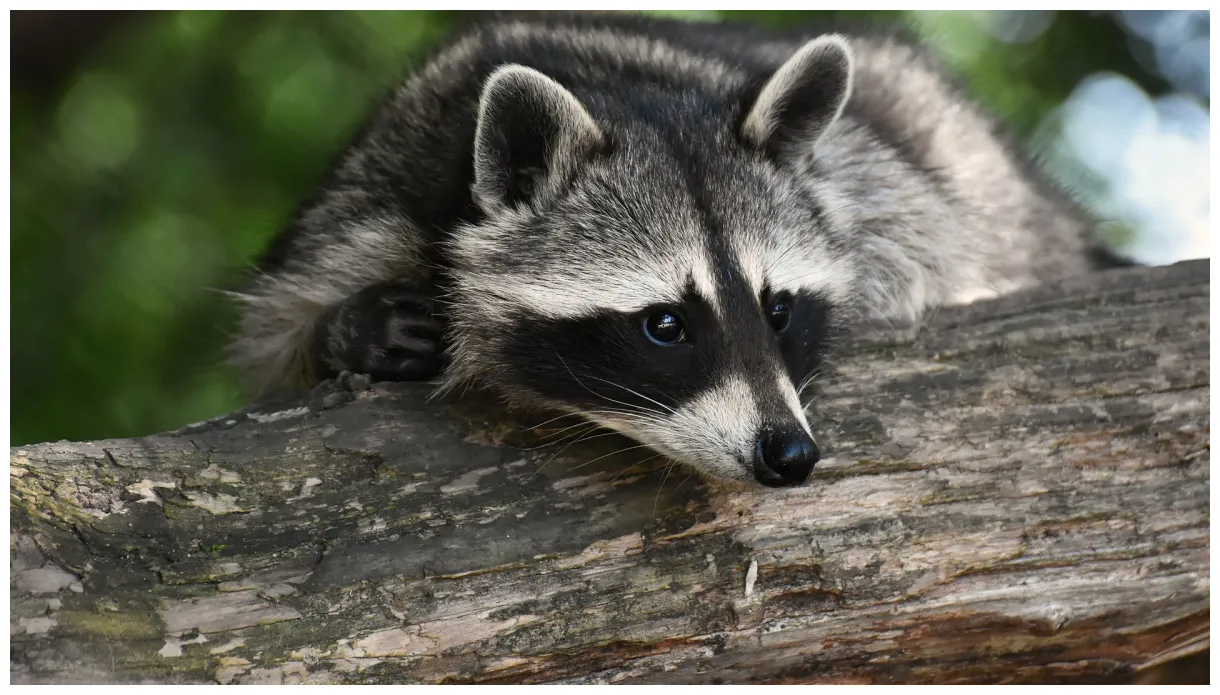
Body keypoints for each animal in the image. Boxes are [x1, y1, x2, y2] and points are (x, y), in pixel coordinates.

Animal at [231, 12, 1116, 487]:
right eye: (665, 324)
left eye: (779, 309)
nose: (790, 454)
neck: (619, 91)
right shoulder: (370, 194)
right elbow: (278, 332)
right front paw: (348, 330)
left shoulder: (886, 188)